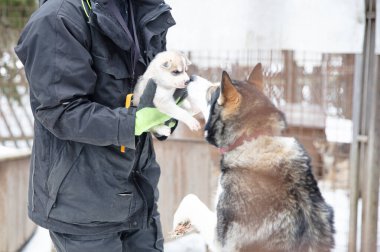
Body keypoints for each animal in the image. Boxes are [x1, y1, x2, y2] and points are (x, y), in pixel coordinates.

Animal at [174, 65, 334, 252]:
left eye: (212, 90)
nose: (190, 77)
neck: (252, 139)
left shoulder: (220, 241)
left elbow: (191, 199)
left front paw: (177, 221)